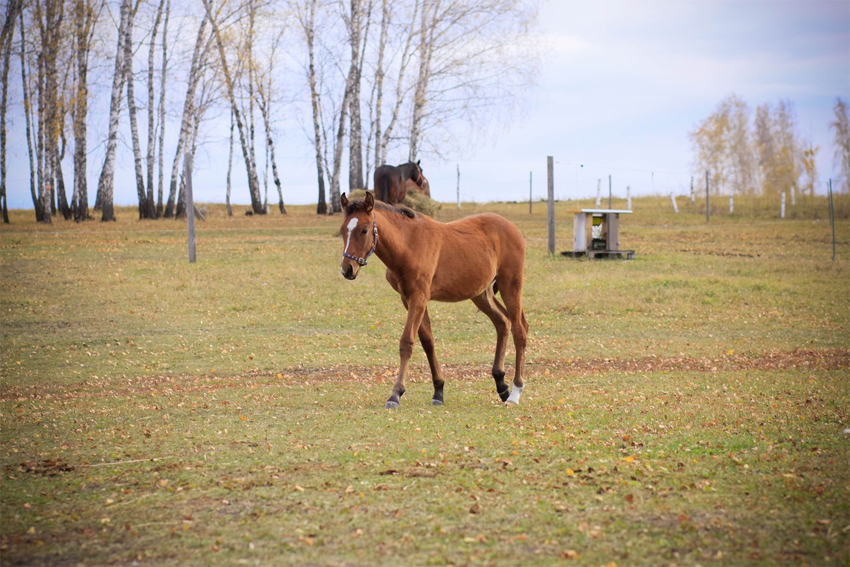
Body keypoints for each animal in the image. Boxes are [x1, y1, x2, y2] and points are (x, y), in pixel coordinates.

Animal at [336, 191, 524, 408]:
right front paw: (438, 392)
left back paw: (515, 392)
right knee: (503, 322)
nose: (348, 269)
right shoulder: (410, 298)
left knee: (519, 330)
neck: (408, 245)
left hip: (510, 284)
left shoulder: (418, 297)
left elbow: (407, 342)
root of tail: (513, 227)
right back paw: (501, 385)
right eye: (343, 229)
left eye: (364, 230)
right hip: (481, 293)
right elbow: (427, 342)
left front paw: (395, 394)